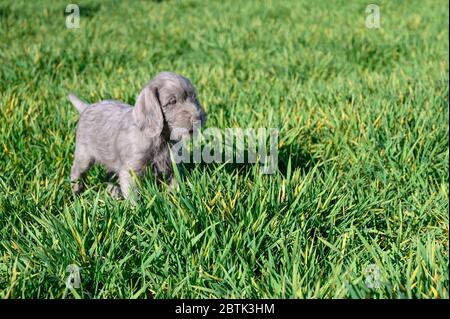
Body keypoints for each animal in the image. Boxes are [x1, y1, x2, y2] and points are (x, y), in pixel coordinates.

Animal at [67, 72, 207, 202]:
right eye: (173, 101)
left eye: (194, 98)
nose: (198, 118)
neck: (161, 138)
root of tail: (87, 107)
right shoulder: (131, 170)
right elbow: (133, 195)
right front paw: (138, 209)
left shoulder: (172, 165)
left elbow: (175, 183)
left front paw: (177, 198)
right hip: (84, 155)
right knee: (76, 171)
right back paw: (76, 191)